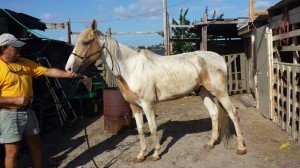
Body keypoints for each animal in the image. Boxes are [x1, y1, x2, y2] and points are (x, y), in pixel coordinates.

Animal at [65, 20, 246, 163]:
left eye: (86, 42)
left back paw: (241, 148)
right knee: (214, 113)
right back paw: (210, 143)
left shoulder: (148, 105)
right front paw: (140, 155)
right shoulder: (134, 107)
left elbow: (152, 128)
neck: (131, 69)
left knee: (233, 114)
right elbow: (140, 129)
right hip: (204, 92)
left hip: (220, 92)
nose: (68, 69)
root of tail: (219, 57)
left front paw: (155, 154)